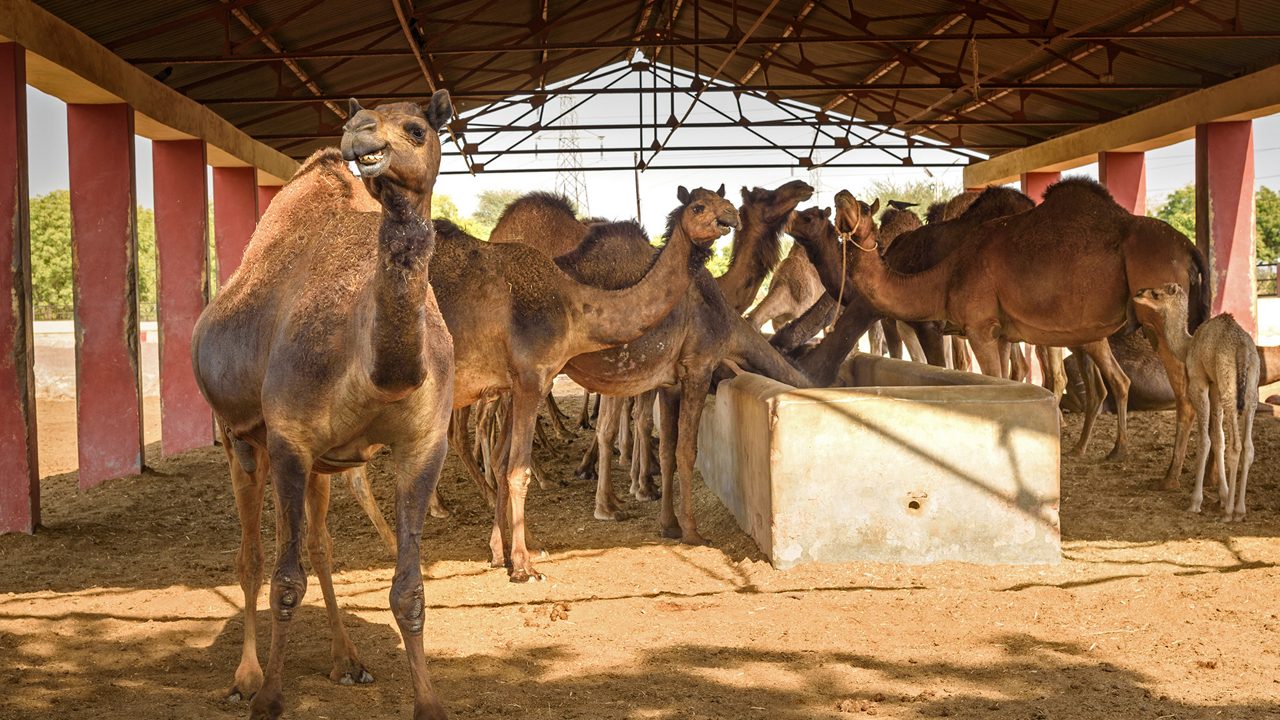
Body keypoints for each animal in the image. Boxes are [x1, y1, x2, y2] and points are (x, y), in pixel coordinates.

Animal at [186, 94, 453, 717]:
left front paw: (428, 702)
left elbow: (409, 590)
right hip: (241, 440)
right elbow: (285, 580)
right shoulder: (290, 437)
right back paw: (246, 676)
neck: (375, 370)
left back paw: (347, 660)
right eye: (359, 120)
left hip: (324, 466)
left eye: (418, 128)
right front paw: (268, 699)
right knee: (253, 556)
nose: (361, 134)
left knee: (321, 545)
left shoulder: (425, 442)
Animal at [829, 176, 1208, 476]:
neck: (945, 275)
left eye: (864, 209)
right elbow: (1006, 378)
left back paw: (1171, 475)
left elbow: (990, 377)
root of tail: (1189, 248)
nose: (841, 194)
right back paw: (1115, 451)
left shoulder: (978, 327)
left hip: (1156, 315)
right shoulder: (1001, 333)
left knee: (1180, 387)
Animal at [1131, 283, 1259, 517]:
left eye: (1156, 294)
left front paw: (1195, 502)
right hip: (1251, 386)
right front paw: (1222, 496)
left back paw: (1230, 512)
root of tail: (1243, 350)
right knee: (1248, 445)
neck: (1188, 345)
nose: (1138, 294)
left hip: (1229, 384)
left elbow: (1205, 439)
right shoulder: (1214, 385)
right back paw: (1240, 509)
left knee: (1236, 445)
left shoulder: (1199, 381)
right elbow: (1218, 438)